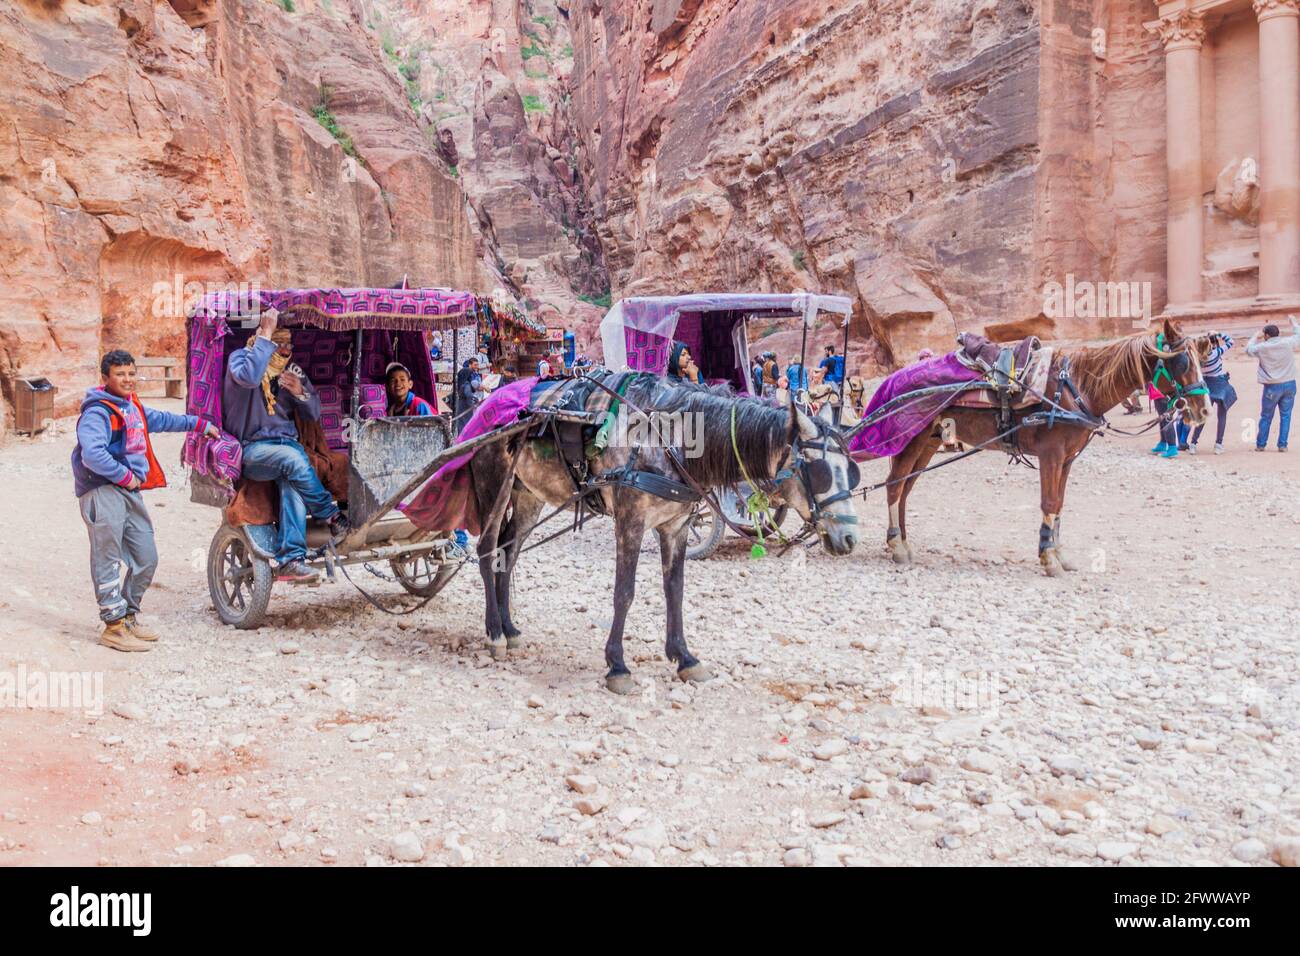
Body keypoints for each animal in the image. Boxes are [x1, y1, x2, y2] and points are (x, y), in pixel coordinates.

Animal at [470, 374, 863, 697]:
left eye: (851, 469)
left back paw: (510, 628)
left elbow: (675, 590)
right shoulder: (630, 521)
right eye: (819, 469)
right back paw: (494, 633)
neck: (668, 440)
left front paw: (684, 657)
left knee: (510, 551)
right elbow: (624, 593)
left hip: (529, 493)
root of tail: (491, 402)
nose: (848, 538)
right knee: (488, 550)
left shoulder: (676, 526)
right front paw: (617, 665)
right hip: (495, 486)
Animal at [883, 321, 1206, 574]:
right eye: (1183, 362)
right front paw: (1049, 559)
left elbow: (1059, 504)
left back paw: (904, 542)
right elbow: (1049, 503)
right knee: (894, 486)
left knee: (906, 488)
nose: (1202, 410)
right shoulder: (1051, 454)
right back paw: (896, 544)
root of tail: (897, 376)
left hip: (929, 441)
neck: (1078, 387)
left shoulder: (1067, 459)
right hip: (911, 439)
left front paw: (1058, 554)